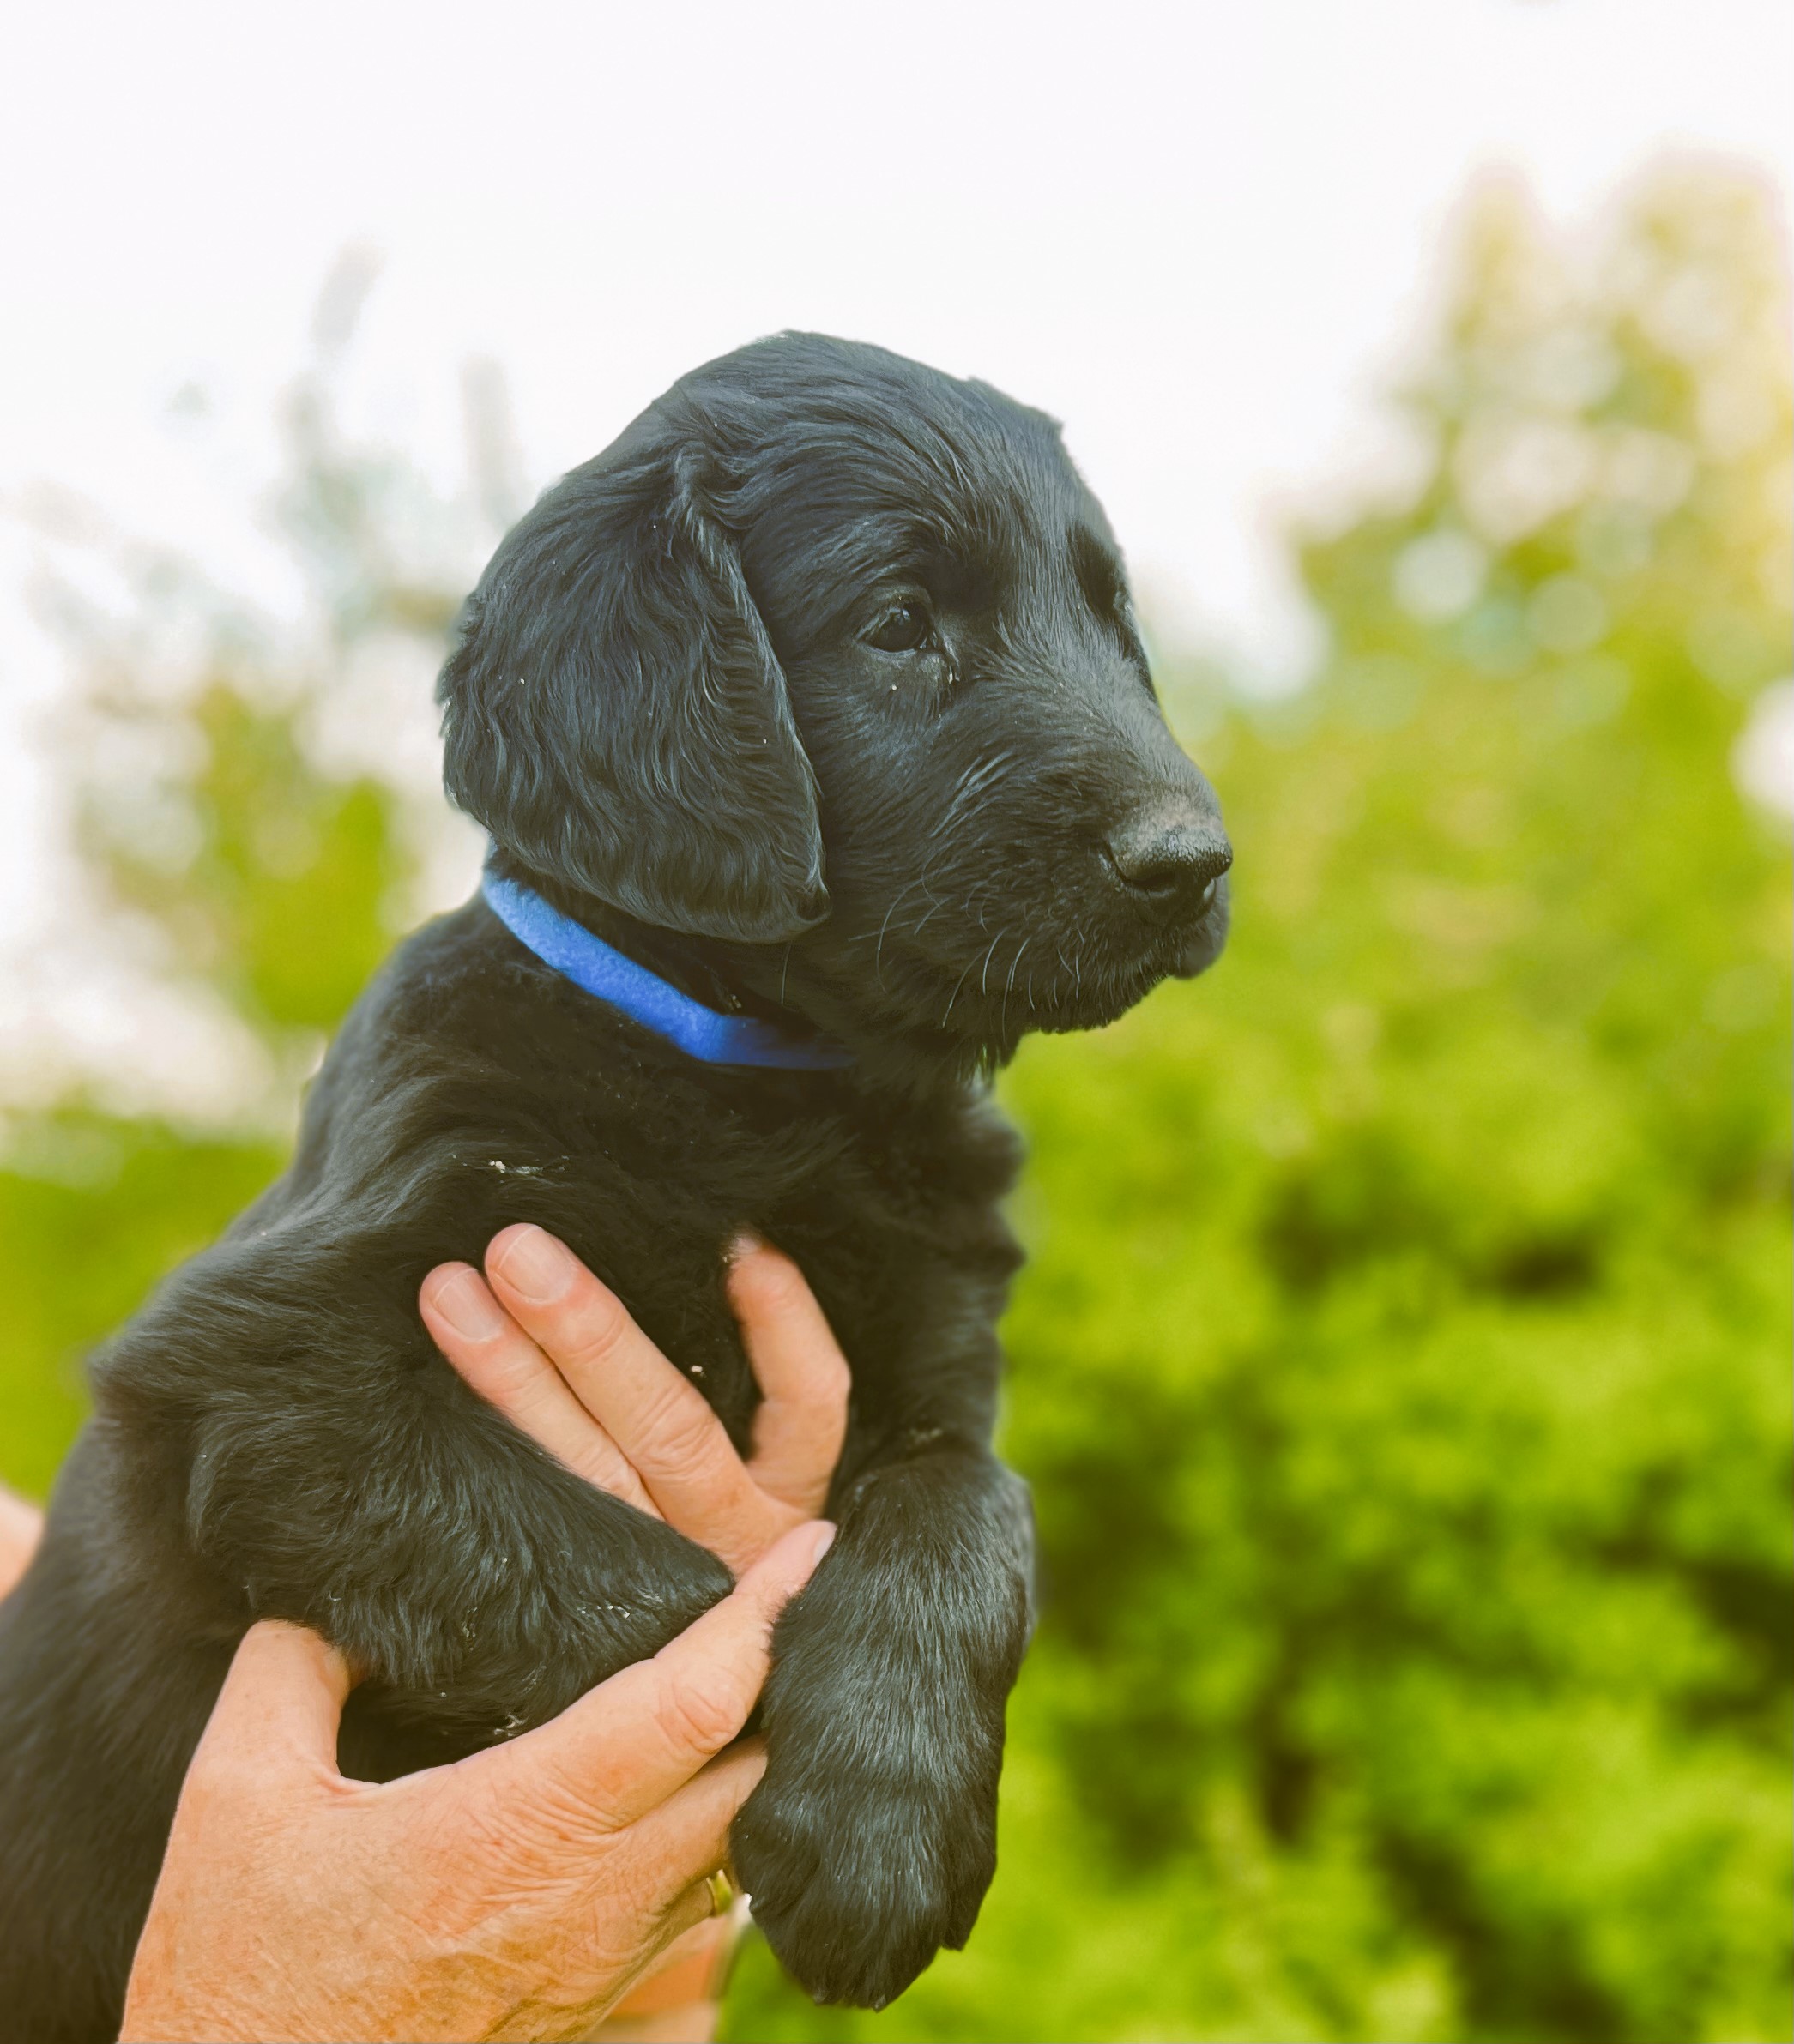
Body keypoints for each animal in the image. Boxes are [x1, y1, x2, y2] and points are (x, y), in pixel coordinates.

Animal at [0, 335, 1219, 2027]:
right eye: (898, 623)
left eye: (1109, 619)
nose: (1196, 860)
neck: (758, 1088)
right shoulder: (258, 1370)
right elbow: (678, 1613)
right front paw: (836, 1823)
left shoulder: (937, 1358)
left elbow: (973, 1505)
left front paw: (881, 1819)